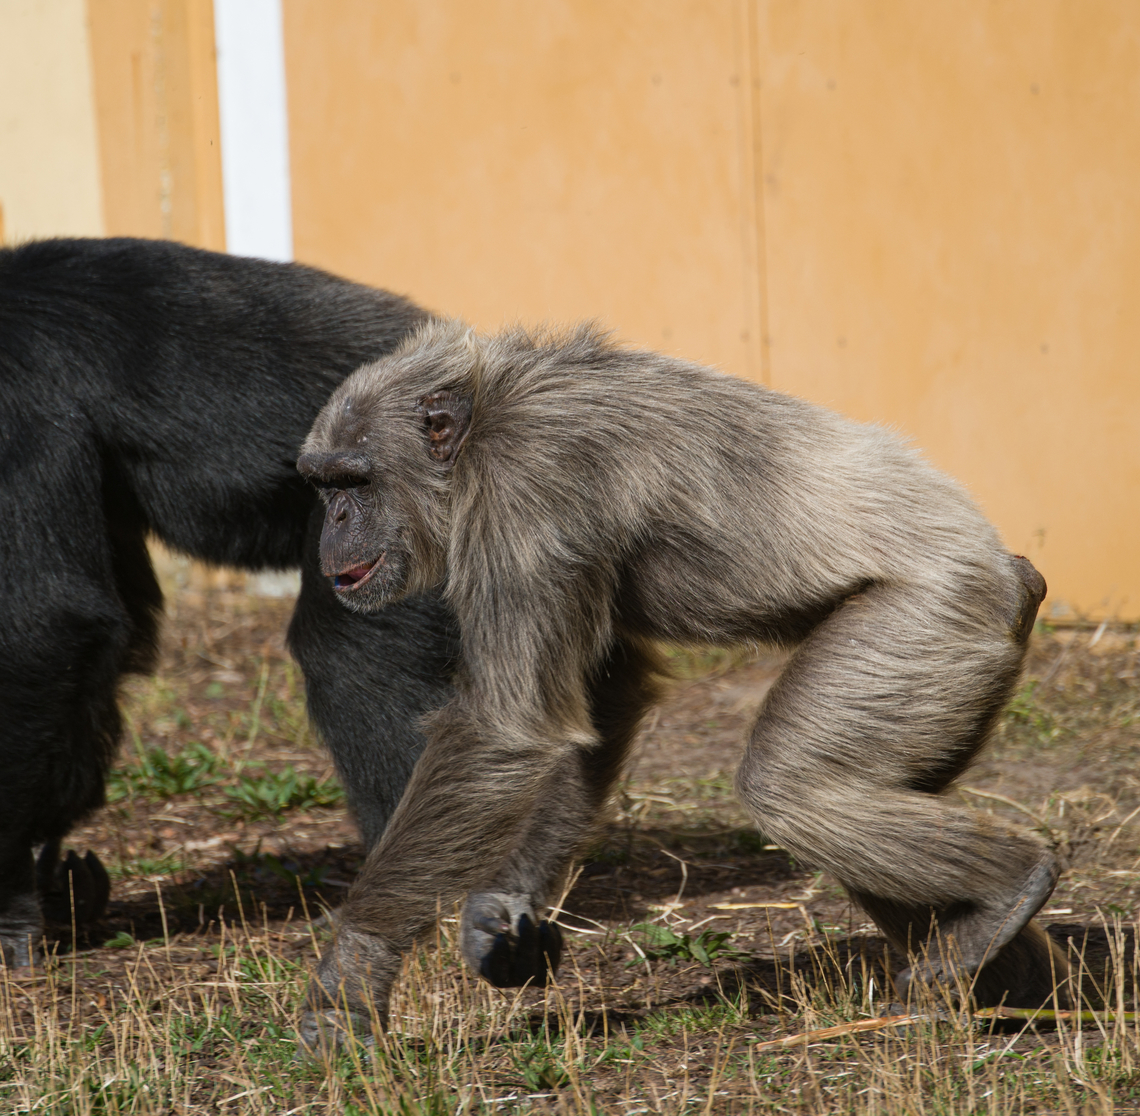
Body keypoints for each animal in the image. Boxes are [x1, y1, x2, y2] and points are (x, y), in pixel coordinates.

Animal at [296, 317, 1069, 1044]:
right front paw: (500, 910)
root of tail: (1017, 579)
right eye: (323, 485)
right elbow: (603, 694)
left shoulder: (524, 485)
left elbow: (506, 729)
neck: (482, 424)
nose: (333, 520)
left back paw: (1009, 888)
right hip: (943, 685)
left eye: (354, 481)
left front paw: (350, 974)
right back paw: (1012, 978)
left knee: (792, 789)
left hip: (915, 633)